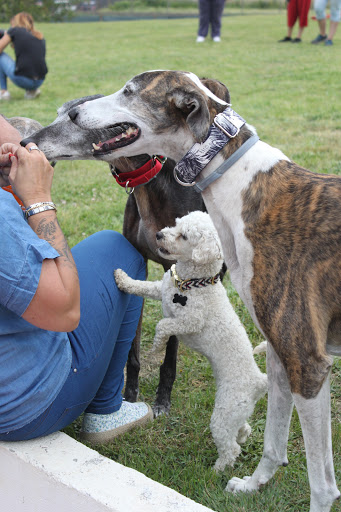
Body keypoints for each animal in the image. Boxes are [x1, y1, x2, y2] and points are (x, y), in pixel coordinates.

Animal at [115, 211, 266, 472]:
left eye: (184, 236)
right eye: (175, 224)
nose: (158, 234)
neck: (192, 282)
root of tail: (259, 381)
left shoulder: (189, 321)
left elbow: (163, 326)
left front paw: (156, 349)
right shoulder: (160, 289)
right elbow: (141, 286)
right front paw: (122, 278)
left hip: (225, 411)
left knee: (230, 448)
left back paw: (216, 472)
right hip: (237, 411)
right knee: (243, 428)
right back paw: (241, 437)